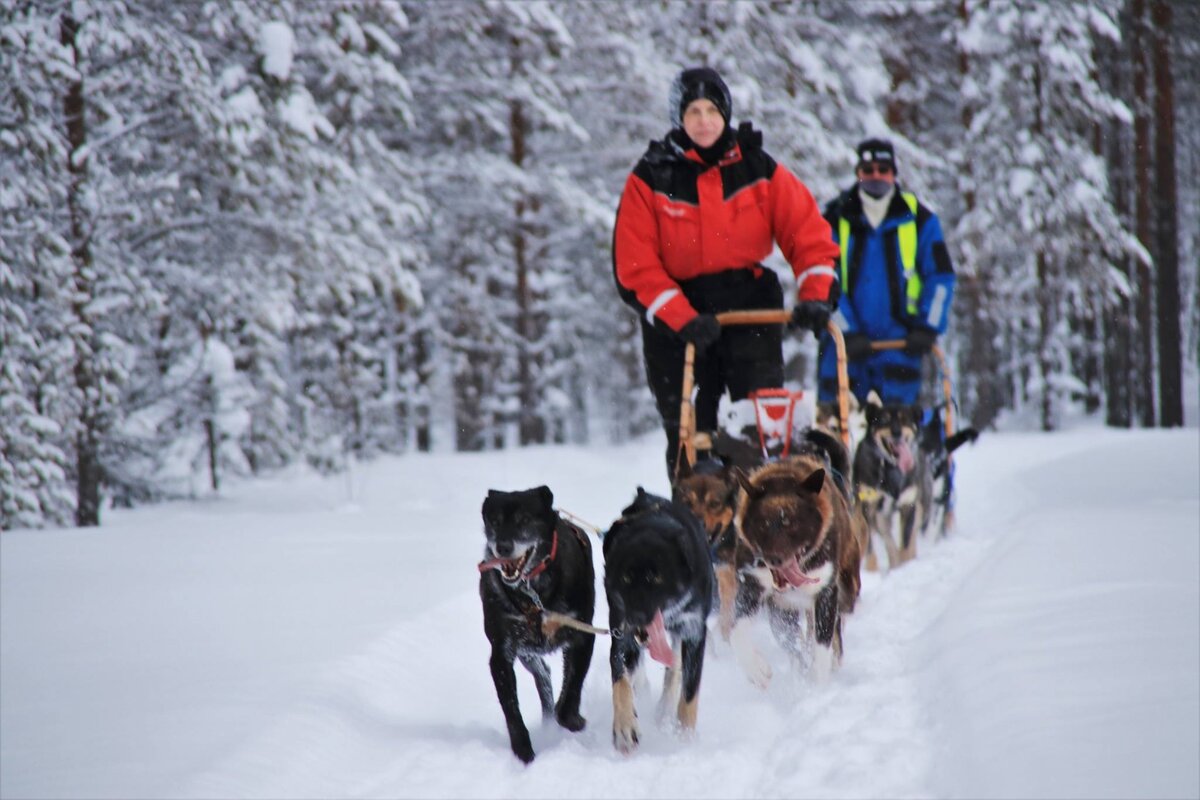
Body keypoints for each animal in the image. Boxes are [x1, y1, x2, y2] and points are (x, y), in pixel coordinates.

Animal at [475, 484, 592, 767]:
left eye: (524, 520)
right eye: (494, 521)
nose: (503, 547)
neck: (533, 591)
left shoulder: (583, 637)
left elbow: (572, 687)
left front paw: (572, 719)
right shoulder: (502, 652)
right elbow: (511, 710)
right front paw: (523, 751)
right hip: (527, 652)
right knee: (544, 677)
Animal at [600, 489, 710, 758]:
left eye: (656, 578)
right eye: (626, 578)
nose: (637, 617)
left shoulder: (694, 630)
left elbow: (689, 693)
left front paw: (684, 739)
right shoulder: (622, 634)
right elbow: (620, 682)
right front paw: (625, 727)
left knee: (675, 668)